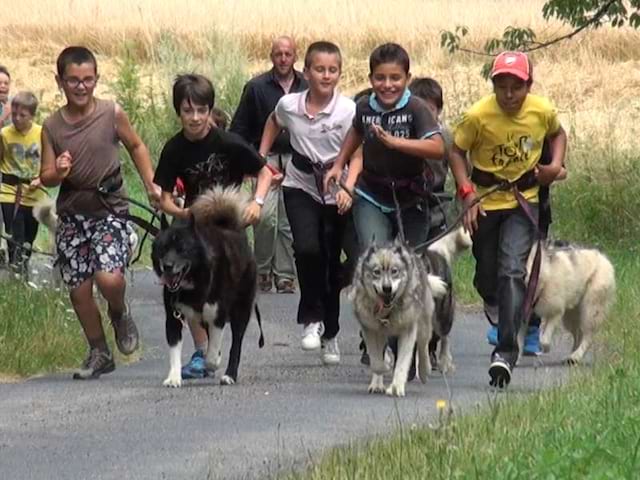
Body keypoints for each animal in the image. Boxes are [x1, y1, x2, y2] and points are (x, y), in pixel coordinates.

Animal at [350, 240, 444, 398]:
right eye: (376, 272)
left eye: (394, 271)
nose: (387, 288)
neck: (388, 311)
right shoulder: (370, 330)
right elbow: (376, 362)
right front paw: (383, 368)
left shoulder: (408, 329)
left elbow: (402, 362)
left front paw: (396, 387)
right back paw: (377, 383)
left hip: (424, 323)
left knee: (423, 346)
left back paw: (424, 370)